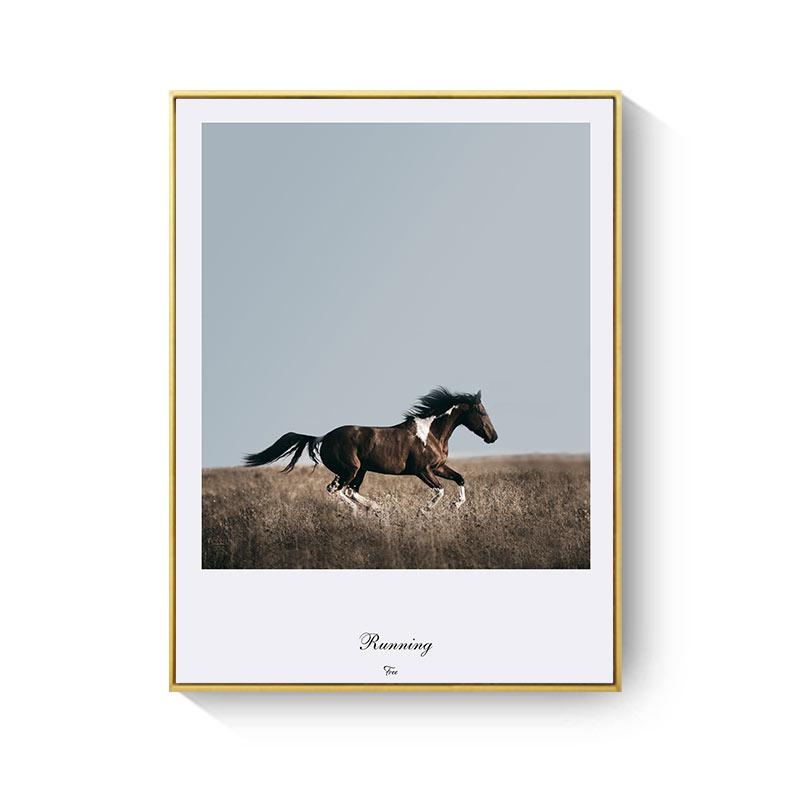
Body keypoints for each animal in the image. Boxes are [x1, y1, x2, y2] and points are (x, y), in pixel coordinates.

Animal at [243, 387, 498, 512]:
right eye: (482, 412)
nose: (493, 437)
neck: (431, 433)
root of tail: (323, 437)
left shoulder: (439, 467)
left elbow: (460, 478)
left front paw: (456, 506)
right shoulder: (423, 470)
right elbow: (440, 490)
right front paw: (424, 511)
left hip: (360, 470)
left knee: (349, 490)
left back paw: (374, 508)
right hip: (350, 469)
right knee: (336, 490)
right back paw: (360, 511)